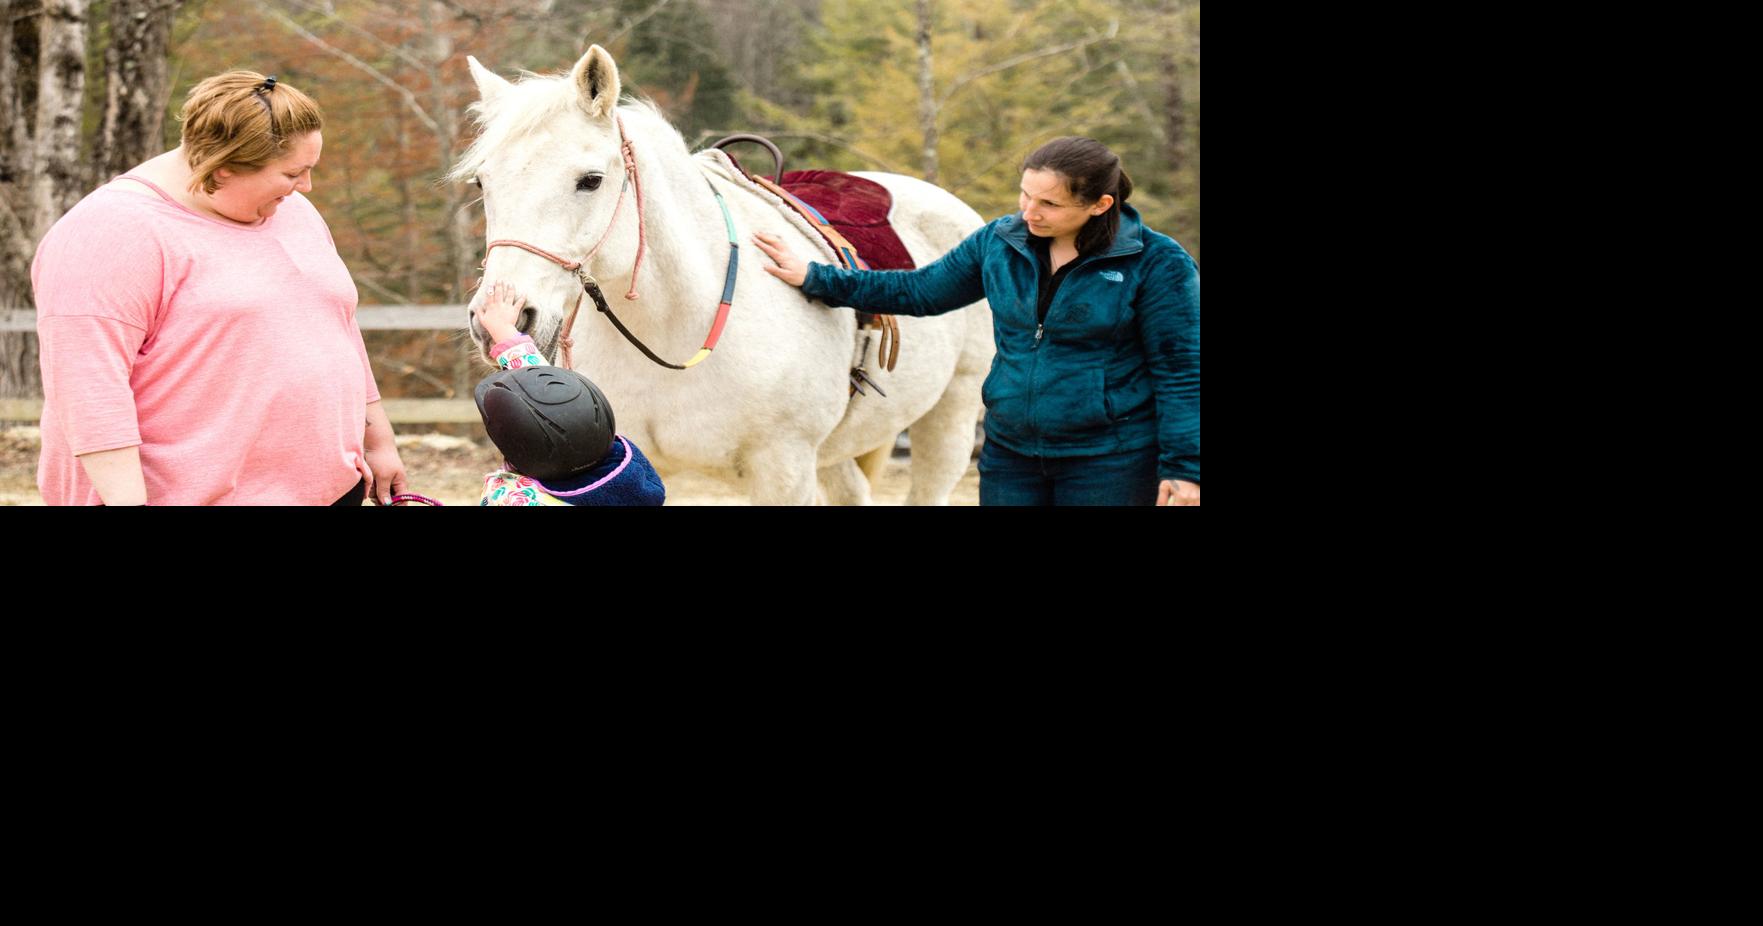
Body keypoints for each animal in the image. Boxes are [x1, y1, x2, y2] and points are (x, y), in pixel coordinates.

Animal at [454, 45, 994, 505]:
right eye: (482, 182)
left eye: (590, 181)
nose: (501, 318)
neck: (676, 326)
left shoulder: (783, 471)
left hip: (950, 417)